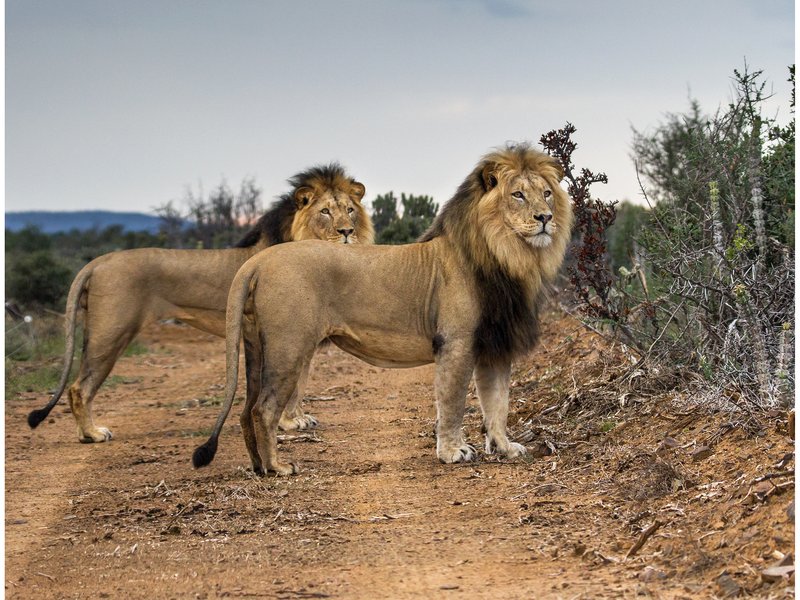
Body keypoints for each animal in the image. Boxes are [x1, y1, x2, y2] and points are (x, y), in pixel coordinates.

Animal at [27, 164, 374, 443]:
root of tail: (98, 261)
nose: (347, 231)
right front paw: (290, 423)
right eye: (325, 212)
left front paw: (296, 419)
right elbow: (290, 382)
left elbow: (299, 382)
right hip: (110, 332)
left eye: (350, 209)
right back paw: (92, 434)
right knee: (79, 387)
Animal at [192, 143, 573, 475]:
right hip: (288, 347)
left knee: (245, 410)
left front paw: (505, 447)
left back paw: (258, 467)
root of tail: (257, 260)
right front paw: (453, 452)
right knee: (263, 409)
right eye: (518, 194)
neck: (509, 256)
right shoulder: (456, 342)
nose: (545, 217)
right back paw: (277, 467)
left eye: (546, 193)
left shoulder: (494, 346)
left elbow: (498, 405)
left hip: (257, 346)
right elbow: (452, 403)